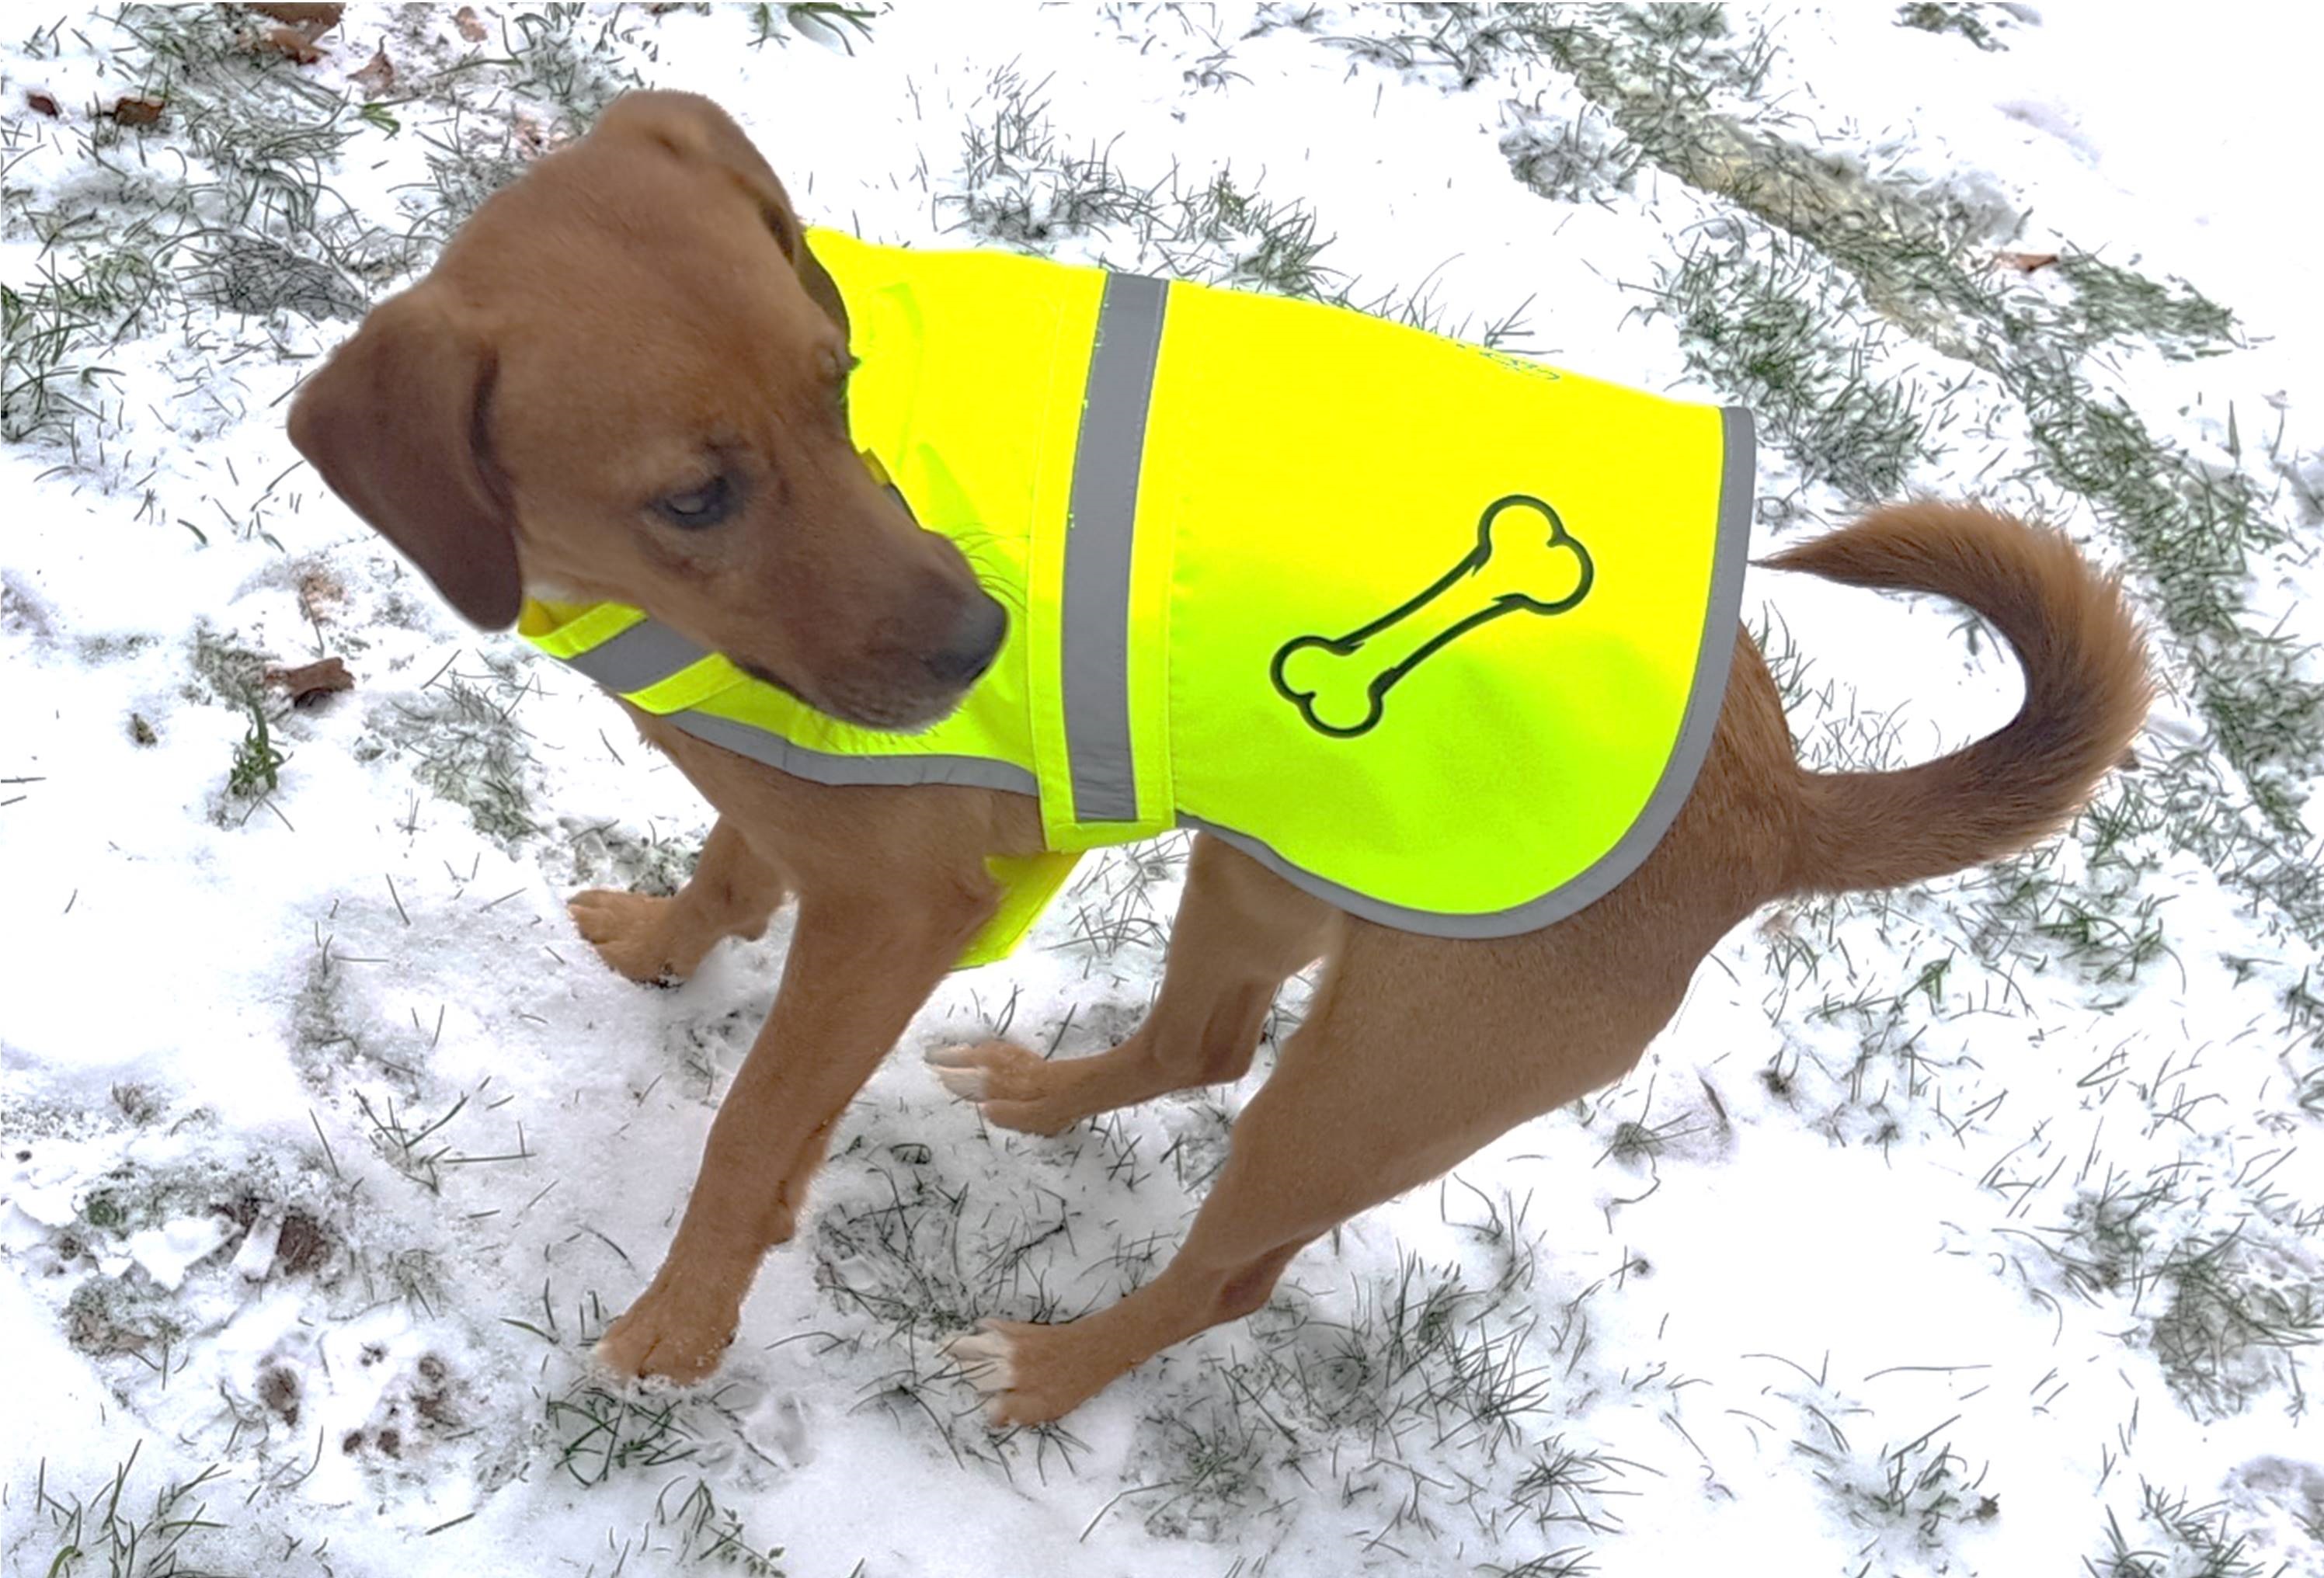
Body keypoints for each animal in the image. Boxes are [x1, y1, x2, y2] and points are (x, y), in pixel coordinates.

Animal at [294, 89, 2156, 1431]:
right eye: (696, 494)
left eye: (842, 387)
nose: (980, 645)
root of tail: (1777, 798)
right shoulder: (799, 809)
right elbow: (730, 867)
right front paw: (668, 945)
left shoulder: (897, 907)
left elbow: (755, 1128)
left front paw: (680, 1330)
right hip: (1264, 873)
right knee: (1200, 1041)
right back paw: (1040, 1092)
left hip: (1369, 1083)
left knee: (1229, 1271)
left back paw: (1046, 1372)